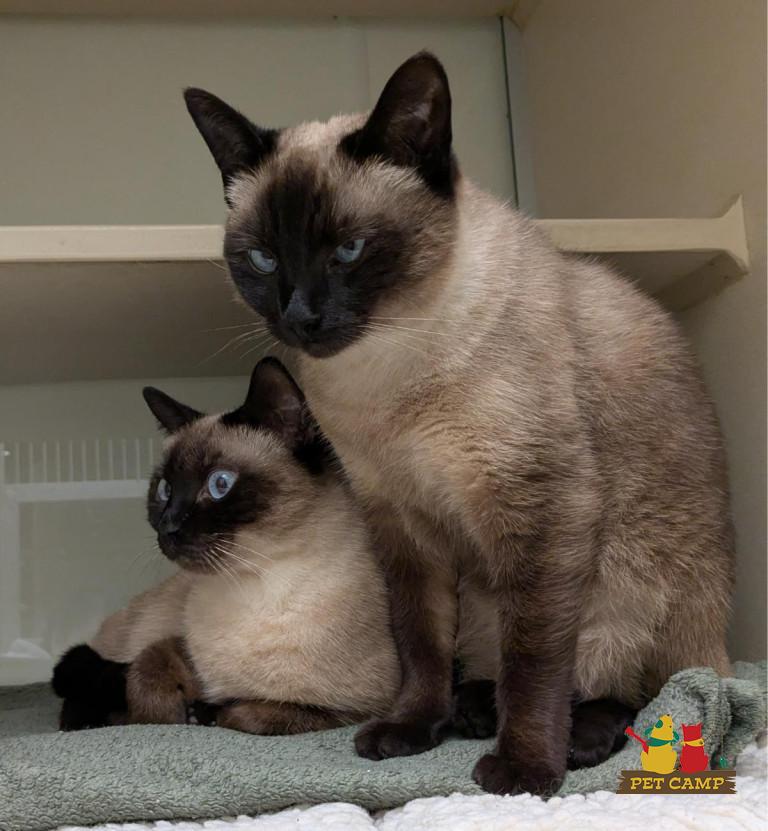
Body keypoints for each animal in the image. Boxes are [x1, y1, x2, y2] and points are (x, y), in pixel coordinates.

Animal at [53, 358, 400, 734]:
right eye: (165, 489)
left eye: (220, 484)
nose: (168, 526)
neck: (258, 585)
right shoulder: (177, 645)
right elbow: (146, 672)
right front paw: (167, 716)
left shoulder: (352, 709)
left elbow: (247, 713)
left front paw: (205, 713)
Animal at [182, 52, 734, 794]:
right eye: (264, 259)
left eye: (349, 250)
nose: (300, 318)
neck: (384, 377)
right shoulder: (403, 522)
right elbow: (420, 644)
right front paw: (411, 731)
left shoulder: (539, 507)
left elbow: (535, 664)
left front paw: (524, 771)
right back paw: (470, 708)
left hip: (632, 584)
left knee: (658, 688)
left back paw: (571, 740)